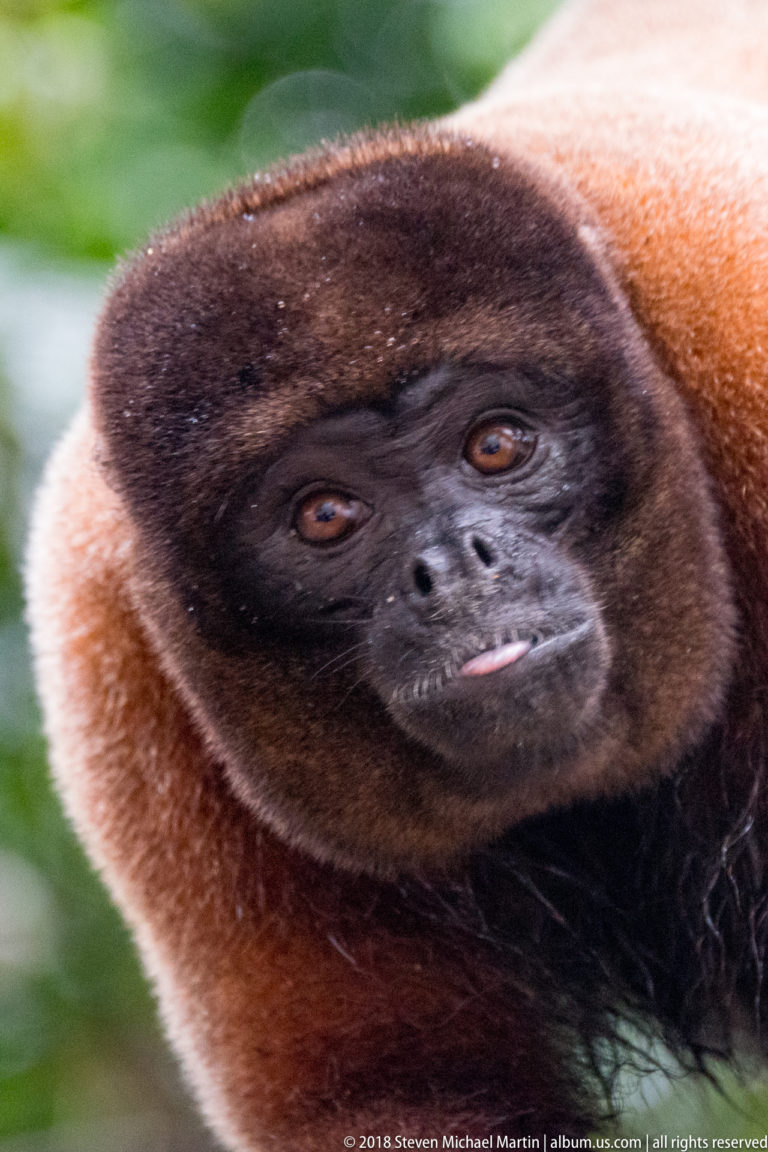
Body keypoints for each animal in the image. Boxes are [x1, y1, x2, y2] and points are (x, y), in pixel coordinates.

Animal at [24, 0, 768, 1147]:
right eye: (325, 515)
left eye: (497, 446)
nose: (452, 569)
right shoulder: (111, 648)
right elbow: (392, 1099)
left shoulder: (742, 330)